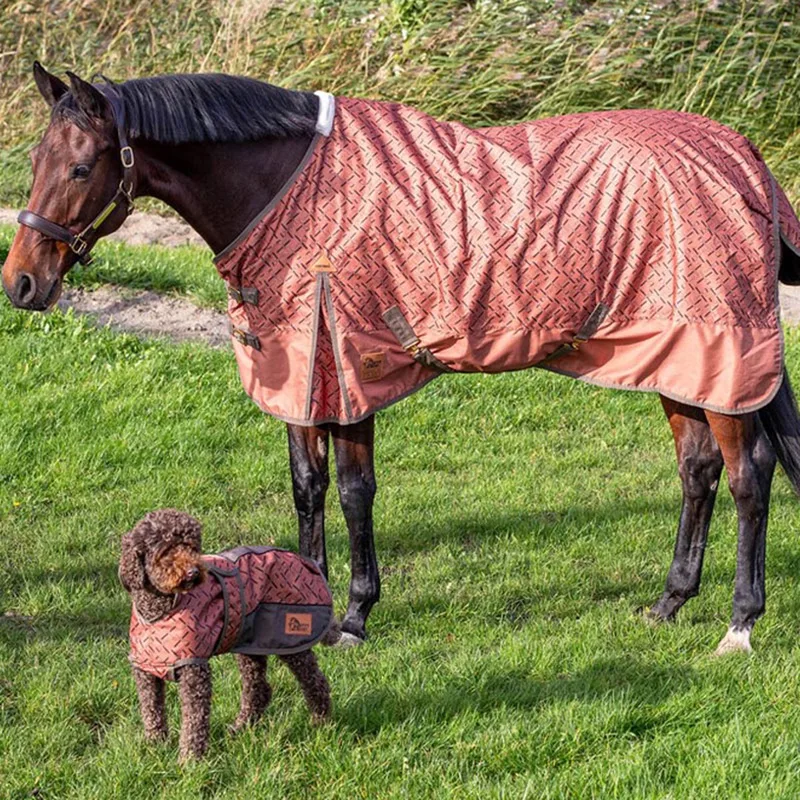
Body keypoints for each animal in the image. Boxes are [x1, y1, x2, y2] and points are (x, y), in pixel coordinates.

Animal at [4, 63, 800, 655]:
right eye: (37, 160)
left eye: (82, 168)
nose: (21, 284)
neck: (285, 186)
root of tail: (746, 164)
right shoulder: (300, 377)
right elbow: (307, 489)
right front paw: (306, 604)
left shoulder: (349, 367)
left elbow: (355, 492)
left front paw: (354, 617)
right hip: (678, 361)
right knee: (697, 469)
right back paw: (668, 603)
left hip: (722, 358)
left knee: (748, 477)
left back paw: (739, 625)